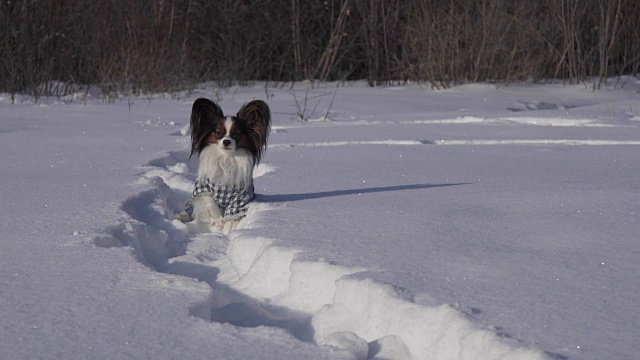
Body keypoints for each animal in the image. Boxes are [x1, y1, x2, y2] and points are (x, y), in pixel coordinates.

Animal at [176, 97, 272, 233]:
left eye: (236, 133)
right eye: (218, 132)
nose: (226, 141)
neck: (226, 158)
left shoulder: (239, 199)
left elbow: (230, 219)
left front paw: (224, 233)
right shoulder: (203, 188)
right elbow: (210, 202)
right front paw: (218, 219)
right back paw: (182, 217)